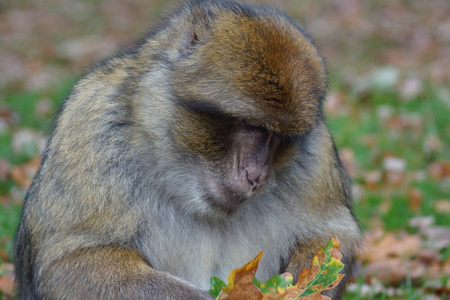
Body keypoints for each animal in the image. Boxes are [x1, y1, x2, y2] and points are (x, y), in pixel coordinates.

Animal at [13, 1, 362, 298]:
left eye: (278, 137)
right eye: (252, 127)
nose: (257, 175)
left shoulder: (316, 151)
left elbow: (333, 236)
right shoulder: (91, 128)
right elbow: (72, 263)